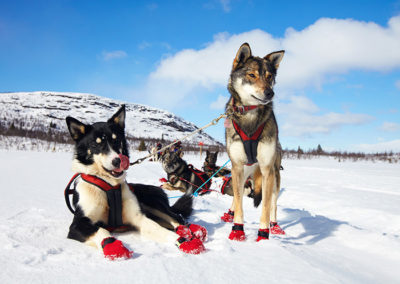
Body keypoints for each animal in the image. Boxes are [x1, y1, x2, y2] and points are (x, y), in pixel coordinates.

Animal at [64, 105, 208, 260]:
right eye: (95, 144)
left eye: (116, 140)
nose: (118, 161)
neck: (110, 185)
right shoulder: (77, 224)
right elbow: (102, 231)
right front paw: (112, 246)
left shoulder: (139, 217)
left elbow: (159, 229)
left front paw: (184, 242)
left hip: (153, 204)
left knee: (177, 218)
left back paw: (193, 231)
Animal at [223, 43, 286, 241]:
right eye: (252, 75)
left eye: (270, 77)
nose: (270, 93)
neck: (250, 114)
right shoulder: (236, 166)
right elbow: (238, 202)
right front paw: (237, 230)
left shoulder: (267, 170)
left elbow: (266, 206)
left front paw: (263, 235)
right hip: (243, 173)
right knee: (237, 197)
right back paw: (229, 214)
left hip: (275, 177)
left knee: (273, 204)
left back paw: (275, 226)